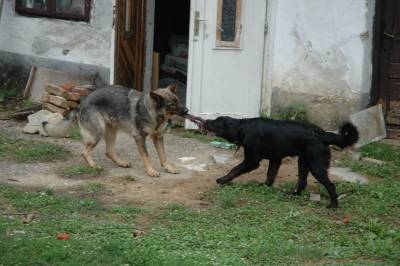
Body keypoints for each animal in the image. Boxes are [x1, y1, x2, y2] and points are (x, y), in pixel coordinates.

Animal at [205, 117, 358, 208]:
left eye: (215, 122)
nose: (205, 120)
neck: (242, 127)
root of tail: (322, 134)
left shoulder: (252, 161)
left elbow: (234, 169)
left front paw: (222, 180)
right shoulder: (275, 159)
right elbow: (270, 175)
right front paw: (265, 186)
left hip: (316, 166)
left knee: (330, 185)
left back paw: (333, 205)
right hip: (304, 162)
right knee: (302, 182)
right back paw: (293, 194)